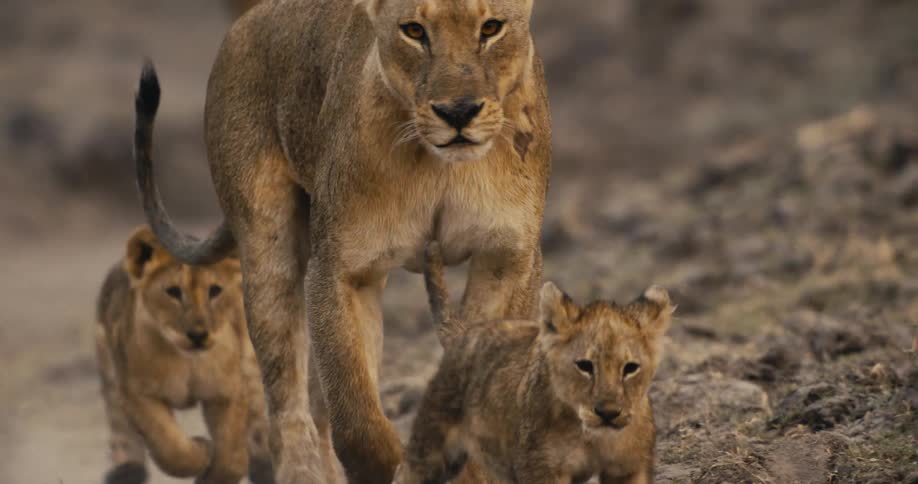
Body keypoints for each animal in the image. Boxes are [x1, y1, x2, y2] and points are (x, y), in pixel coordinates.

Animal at [95, 227, 274, 484]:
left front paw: (213, 474)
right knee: (121, 426)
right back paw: (126, 470)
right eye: (173, 292)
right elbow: (170, 445)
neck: (187, 362)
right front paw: (202, 451)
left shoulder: (227, 391)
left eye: (214, 290)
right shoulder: (136, 393)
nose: (198, 335)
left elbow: (233, 455)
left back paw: (265, 467)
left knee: (259, 422)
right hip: (109, 365)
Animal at [132, 0, 551, 481]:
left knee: (318, 404)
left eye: (491, 28)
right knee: (289, 405)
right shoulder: (341, 270)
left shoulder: (507, 259)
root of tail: (250, 17)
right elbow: (356, 417)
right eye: (413, 31)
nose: (458, 111)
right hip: (267, 248)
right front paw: (393, 466)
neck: (438, 166)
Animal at [395, 242, 673, 484]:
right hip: (432, 447)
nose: (608, 413)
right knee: (405, 471)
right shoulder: (540, 469)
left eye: (630, 368)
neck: (591, 436)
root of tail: (465, 331)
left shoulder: (630, 468)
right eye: (584, 366)